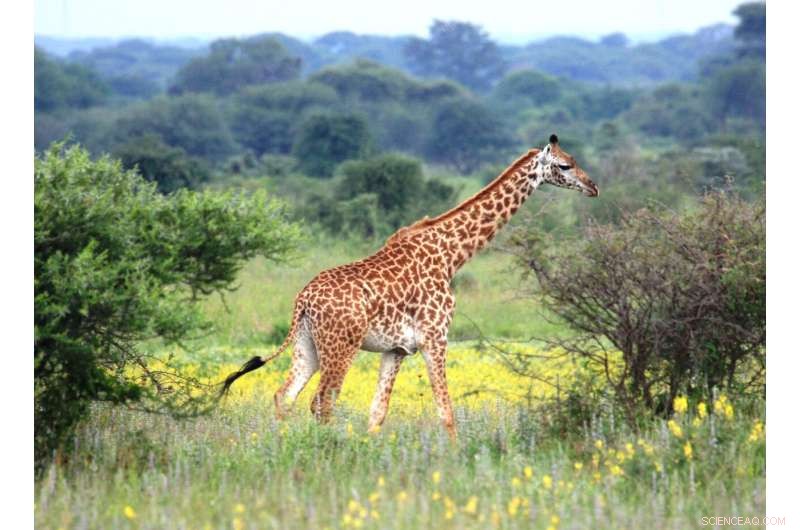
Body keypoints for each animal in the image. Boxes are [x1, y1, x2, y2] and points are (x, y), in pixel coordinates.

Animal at [221, 134, 598, 439]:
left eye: (574, 159)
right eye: (564, 165)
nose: (593, 187)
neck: (452, 255)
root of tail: (302, 300)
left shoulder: (397, 349)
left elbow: (377, 413)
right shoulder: (436, 337)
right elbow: (446, 412)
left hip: (307, 344)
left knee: (285, 396)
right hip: (341, 346)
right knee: (321, 402)